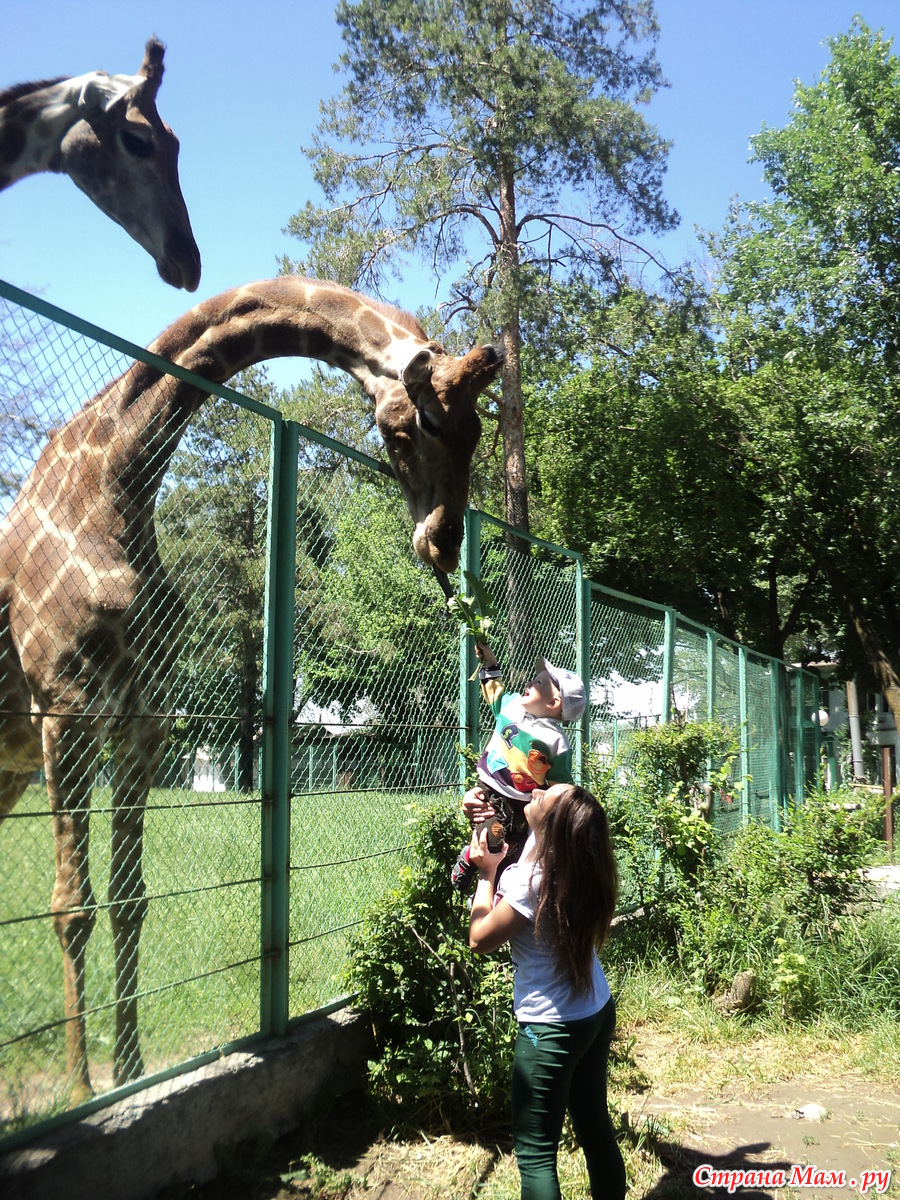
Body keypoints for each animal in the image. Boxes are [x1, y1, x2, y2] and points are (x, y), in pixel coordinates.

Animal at [0, 276, 501, 1099]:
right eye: (420, 423)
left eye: (478, 430)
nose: (442, 540)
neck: (115, 485)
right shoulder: (65, 708)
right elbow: (73, 907)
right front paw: (83, 1092)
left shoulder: (145, 717)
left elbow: (131, 901)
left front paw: (131, 1072)